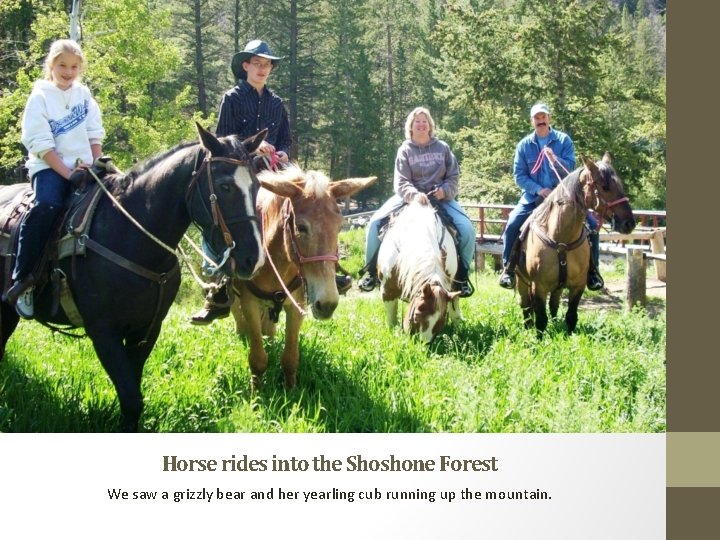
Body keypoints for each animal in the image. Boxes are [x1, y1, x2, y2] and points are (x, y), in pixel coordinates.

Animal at [0, 124, 268, 432]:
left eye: (256, 186)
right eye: (224, 186)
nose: (253, 259)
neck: (130, 235)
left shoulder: (146, 330)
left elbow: (133, 392)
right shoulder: (103, 332)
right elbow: (130, 397)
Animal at [231, 165, 376, 388]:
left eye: (339, 227)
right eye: (301, 227)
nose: (327, 304)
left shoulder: (296, 304)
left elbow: (290, 358)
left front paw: (291, 390)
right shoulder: (249, 303)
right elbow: (257, 359)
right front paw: (256, 391)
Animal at [516, 154, 636, 336]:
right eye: (605, 186)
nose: (629, 223)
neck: (561, 239)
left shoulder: (578, 285)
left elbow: (571, 316)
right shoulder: (539, 287)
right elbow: (541, 319)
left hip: (557, 286)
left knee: (554, 304)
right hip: (521, 279)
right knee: (525, 306)